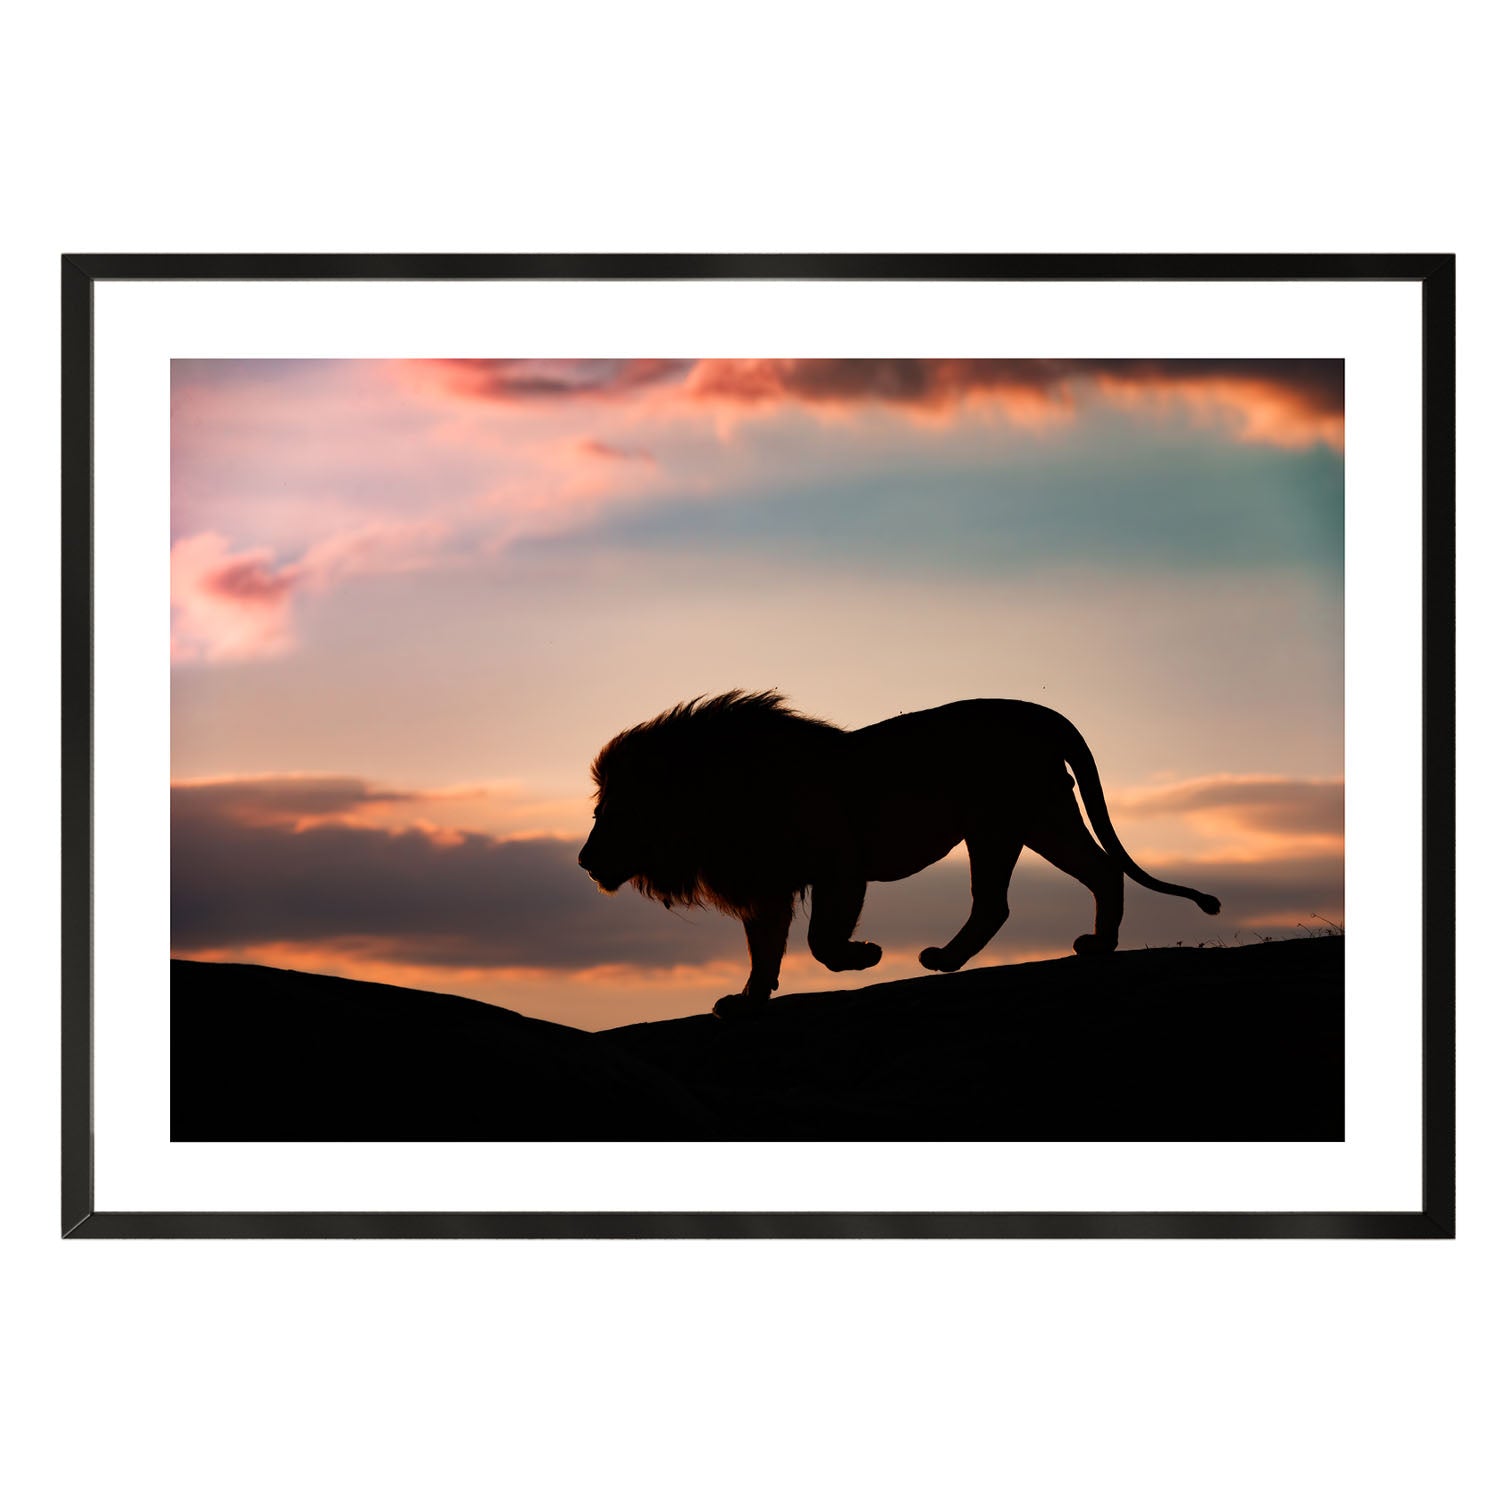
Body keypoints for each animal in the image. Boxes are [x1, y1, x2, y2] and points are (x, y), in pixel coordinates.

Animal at [578, 691, 1220, 1018]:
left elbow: (820, 941)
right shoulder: (768, 885)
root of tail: (1039, 711)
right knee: (1078, 878)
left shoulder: (839, 863)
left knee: (1027, 892)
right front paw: (747, 1000)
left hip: (1010, 820)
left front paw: (865, 957)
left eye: (612, 814)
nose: (583, 861)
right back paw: (1084, 947)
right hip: (1031, 820)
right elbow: (765, 950)